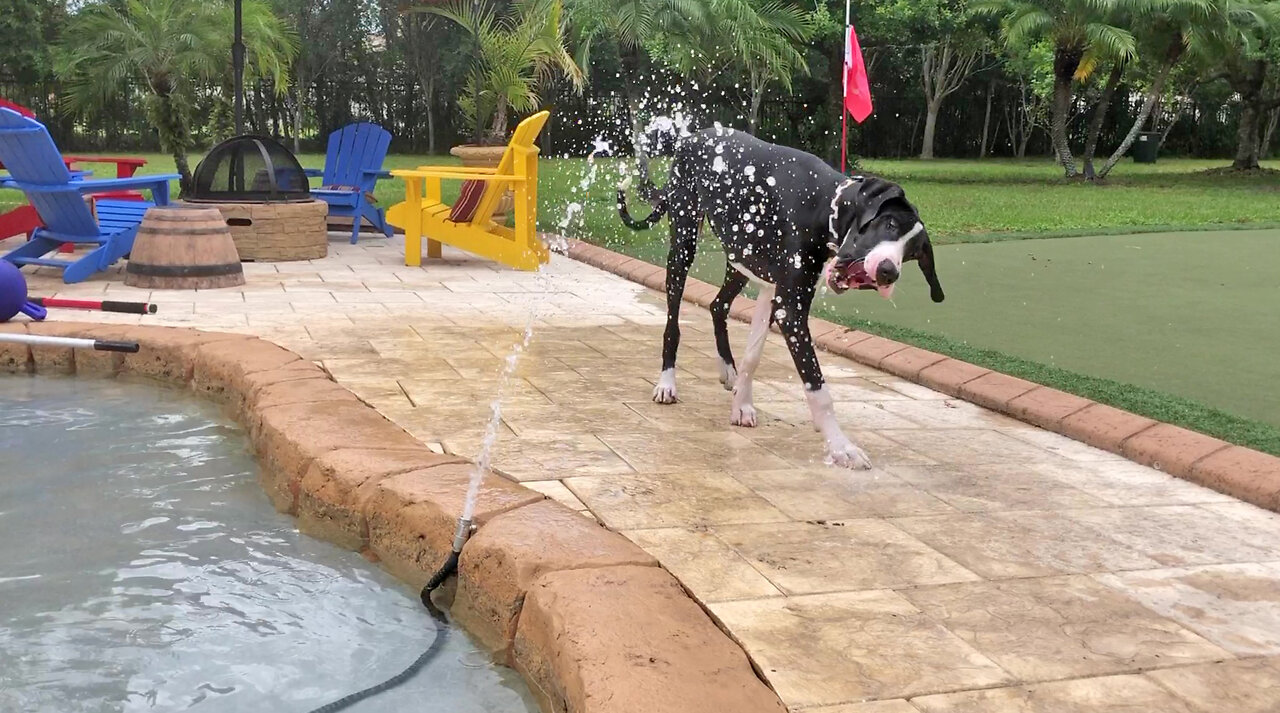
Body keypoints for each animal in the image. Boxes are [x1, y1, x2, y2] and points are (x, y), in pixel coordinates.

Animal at [614, 126, 947, 471]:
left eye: (912, 253)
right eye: (890, 224)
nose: (888, 272)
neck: (824, 203)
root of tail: (693, 137)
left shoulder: (771, 291)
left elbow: (753, 355)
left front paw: (742, 404)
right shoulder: (791, 309)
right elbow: (817, 387)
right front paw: (841, 446)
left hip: (740, 259)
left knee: (718, 305)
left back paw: (728, 371)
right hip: (683, 244)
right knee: (673, 324)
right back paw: (667, 382)